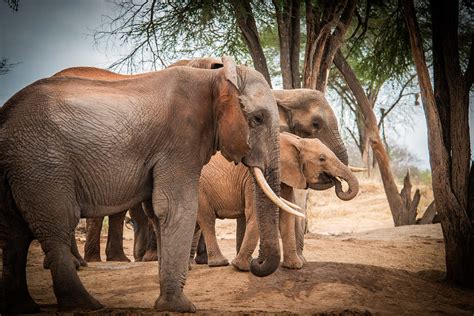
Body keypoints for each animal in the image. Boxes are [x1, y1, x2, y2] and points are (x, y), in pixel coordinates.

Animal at [0, 56, 300, 314]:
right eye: (257, 119)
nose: (256, 264)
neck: (215, 76)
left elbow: (159, 213)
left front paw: (167, 303)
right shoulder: (180, 140)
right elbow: (177, 207)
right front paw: (180, 307)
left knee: (15, 233)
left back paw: (25, 308)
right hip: (42, 163)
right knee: (56, 224)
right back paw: (85, 305)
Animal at [194, 132, 358, 270]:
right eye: (322, 159)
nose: (337, 182)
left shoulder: (286, 177)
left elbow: (287, 216)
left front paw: (294, 266)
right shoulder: (253, 179)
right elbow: (256, 213)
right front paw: (241, 267)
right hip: (200, 190)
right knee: (207, 220)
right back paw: (220, 263)